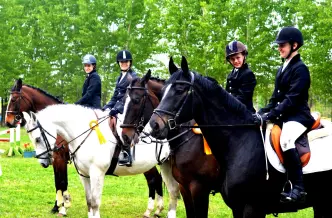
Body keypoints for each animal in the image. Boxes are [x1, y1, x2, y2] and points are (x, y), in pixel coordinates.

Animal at [4, 79, 165, 218]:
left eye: (13, 100)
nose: (8, 122)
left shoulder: (61, 159)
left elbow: (62, 182)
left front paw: (62, 207)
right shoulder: (66, 163)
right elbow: (59, 183)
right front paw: (59, 206)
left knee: (153, 180)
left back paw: (151, 210)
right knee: (156, 179)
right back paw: (156, 210)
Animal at [148, 56, 332, 218]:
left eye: (179, 90)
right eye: (161, 92)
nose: (154, 126)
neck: (239, 143)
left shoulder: (245, 205)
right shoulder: (226, 202)